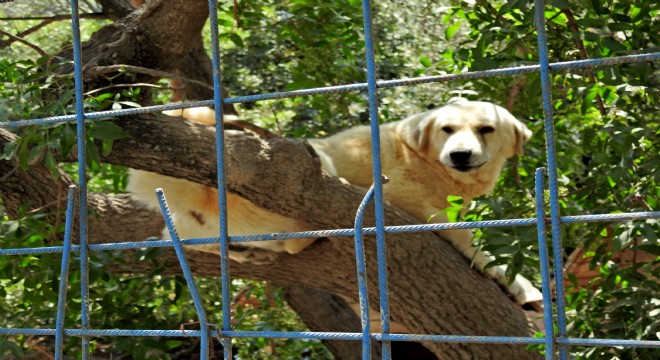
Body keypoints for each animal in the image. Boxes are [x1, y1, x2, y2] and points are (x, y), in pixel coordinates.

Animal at [127, 100, 540, 304]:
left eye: (486, 130)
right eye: (448, 129)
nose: (460, 154)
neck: (422, 156)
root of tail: (203, 190)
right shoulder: (409, 199)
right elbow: (473, 239)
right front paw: (521, 285)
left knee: (181, 235)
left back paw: (246, 251)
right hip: (298, 167)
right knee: (296, 237)